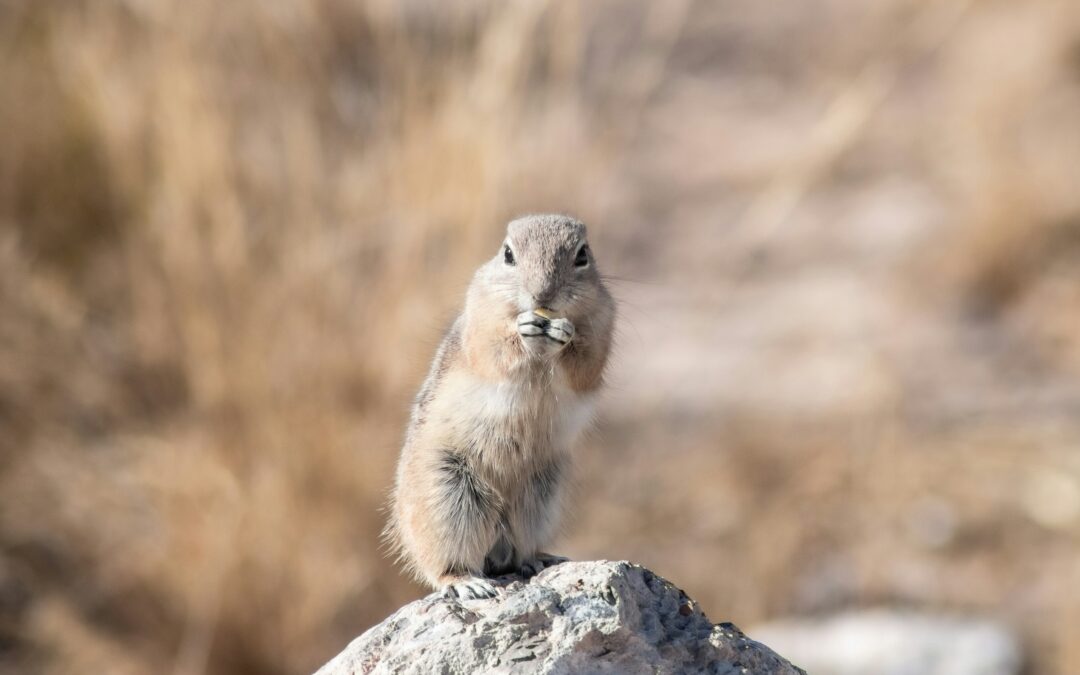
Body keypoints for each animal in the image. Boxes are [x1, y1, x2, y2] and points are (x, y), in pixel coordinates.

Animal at [385, 214, 616, 600]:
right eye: (508, 254)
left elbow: (585, 363)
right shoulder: (482, 319)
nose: (542, 295)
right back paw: (468, 583)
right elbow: (494, 348)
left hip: (542, 497)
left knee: (522, 548)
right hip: (448, 497)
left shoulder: (603, 324)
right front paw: (523, 328)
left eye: (582, 255)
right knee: (442, 565)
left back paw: (537, 559)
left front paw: (564, 333)